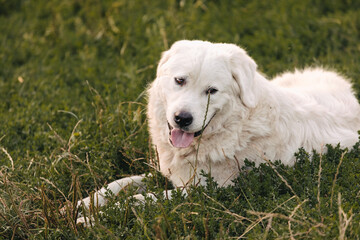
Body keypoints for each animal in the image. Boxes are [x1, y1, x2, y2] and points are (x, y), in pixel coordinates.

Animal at [76, 40, 360, 215]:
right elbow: (120, 184)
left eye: (211, 91)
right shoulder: (170, 173)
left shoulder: (202, 193)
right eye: (180, 80)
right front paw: (82, 205)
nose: (182, 118)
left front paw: (90, 219)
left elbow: (136, 201)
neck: (234, 128)